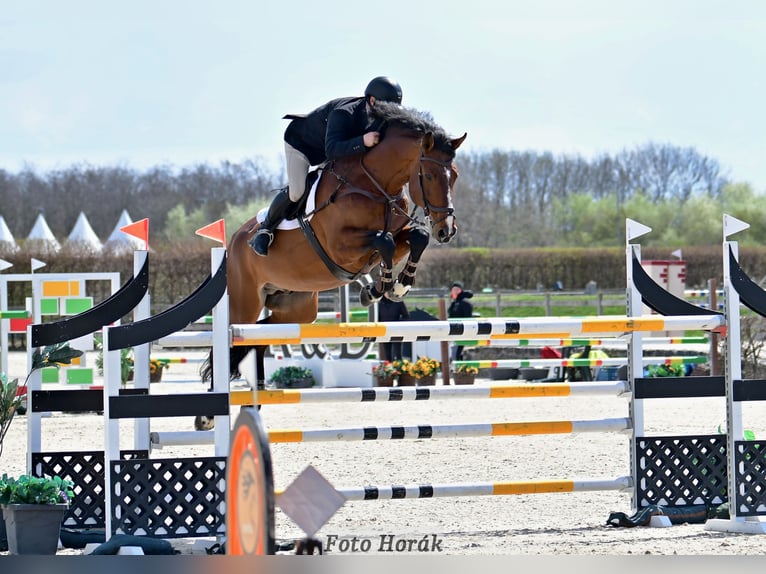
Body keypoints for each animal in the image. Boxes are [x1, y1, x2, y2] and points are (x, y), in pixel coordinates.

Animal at [198, 104, 464, 428]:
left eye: (454, 176)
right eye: (427, 175)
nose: (446, 230)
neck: (374, 185)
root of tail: (233, 243)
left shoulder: (396, 234)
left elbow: (416, 237)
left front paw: (396, 285)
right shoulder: (340, 247)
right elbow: (385, 240)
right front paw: (380, 287)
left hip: (297, 308)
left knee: (259, 338)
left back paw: (253, 404)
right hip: (244, 303)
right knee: (232, 344)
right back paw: (207, 415)